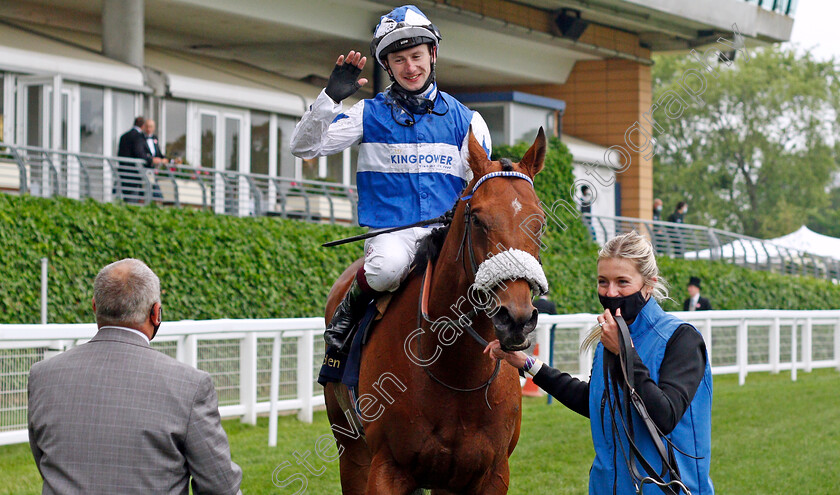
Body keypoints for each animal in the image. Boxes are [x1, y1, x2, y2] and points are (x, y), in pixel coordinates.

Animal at [324, 129, 548, 495]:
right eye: (477, 219)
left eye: (539, 222)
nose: (515, 319)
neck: (456, 372)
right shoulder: (385, 470)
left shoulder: (491, 473)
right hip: (350, 449)